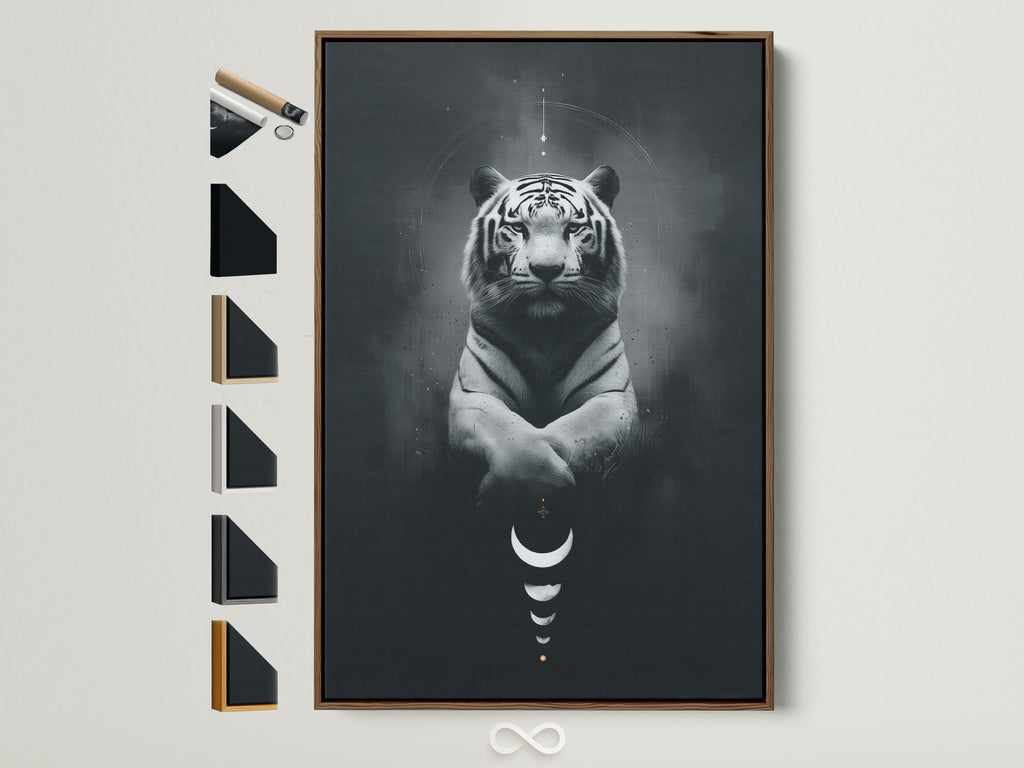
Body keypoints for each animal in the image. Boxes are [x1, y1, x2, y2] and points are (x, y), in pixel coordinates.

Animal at [448, 166, 639, 504]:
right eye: (518, 227)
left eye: (574, 227)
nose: (547, 269)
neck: (544, 332)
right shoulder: (472, 396)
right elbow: (515, 435)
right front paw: (526, 482)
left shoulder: (615, 398)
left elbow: (568, 429)